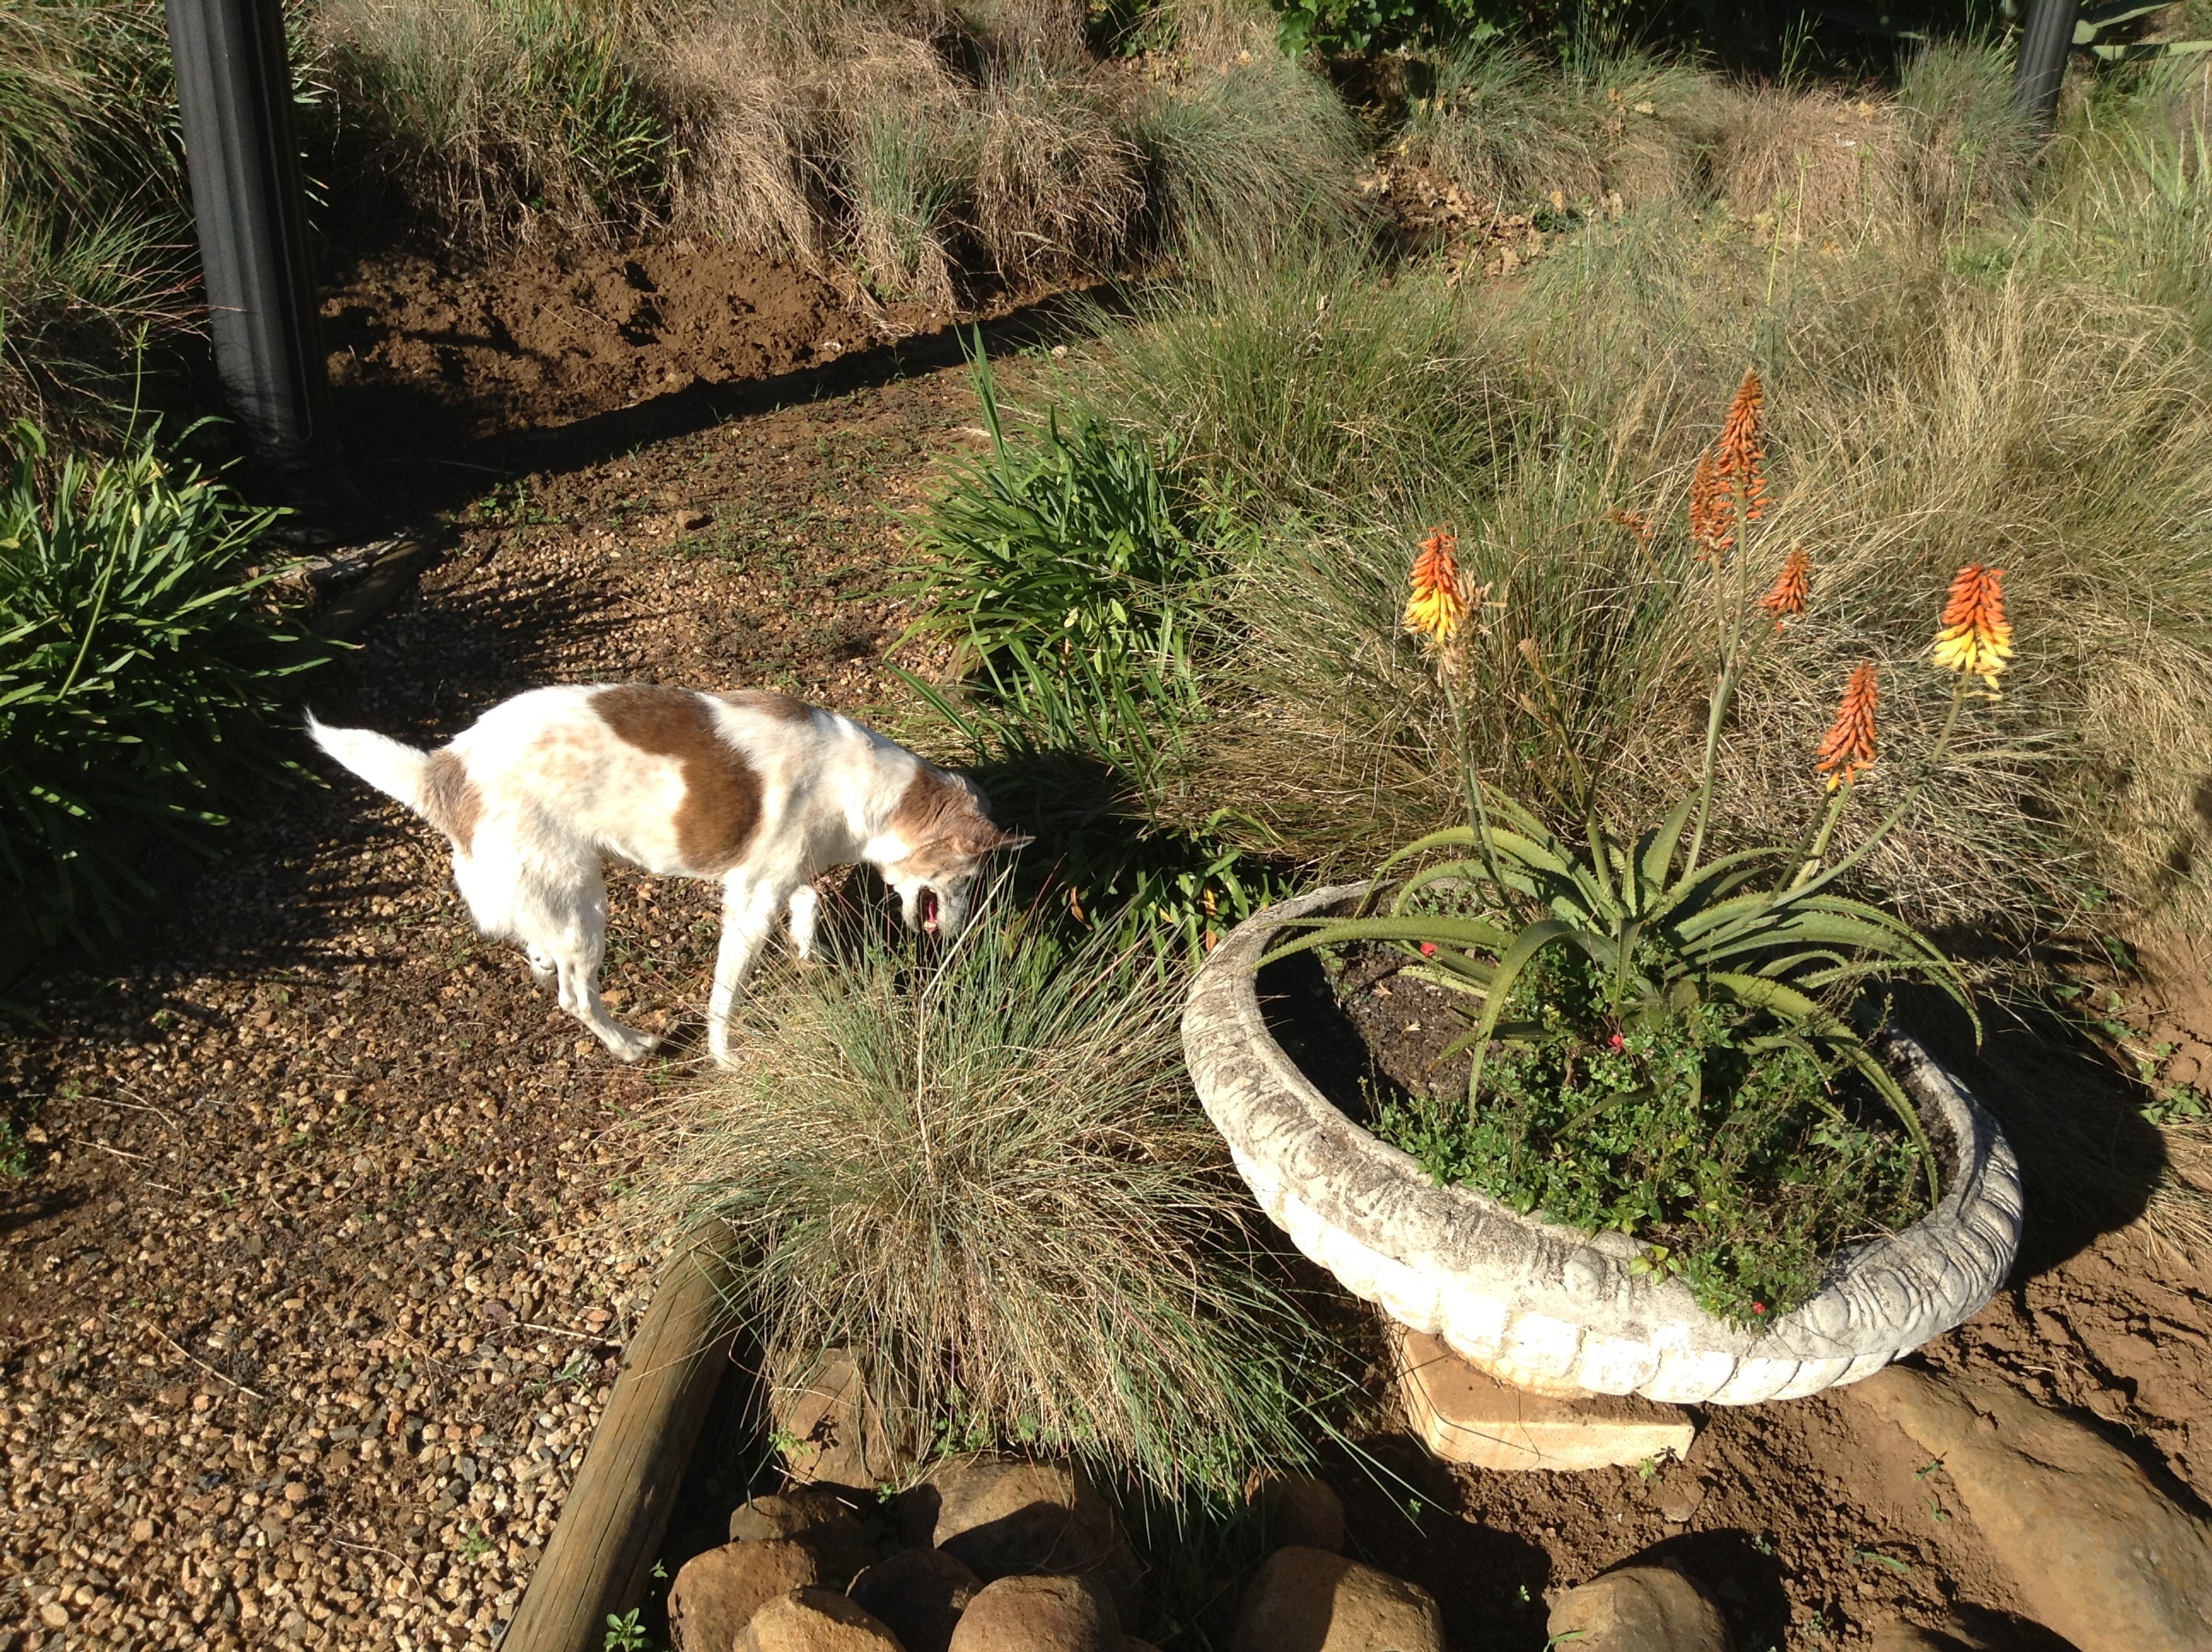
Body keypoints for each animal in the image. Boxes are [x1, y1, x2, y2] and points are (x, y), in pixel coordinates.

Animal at [307, 683, 1026, 1065]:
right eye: (969, 878)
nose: (961, 936)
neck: (863, 787)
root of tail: (444, 769)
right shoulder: (750, 901)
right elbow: (726, 994)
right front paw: (725, 1055)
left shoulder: (783, 873)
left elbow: (808, 907)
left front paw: (811, 958)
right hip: (585, 909)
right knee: (577, 997)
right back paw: (628, 1044)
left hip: (552, 896)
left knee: (538, 946)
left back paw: (539, 957)